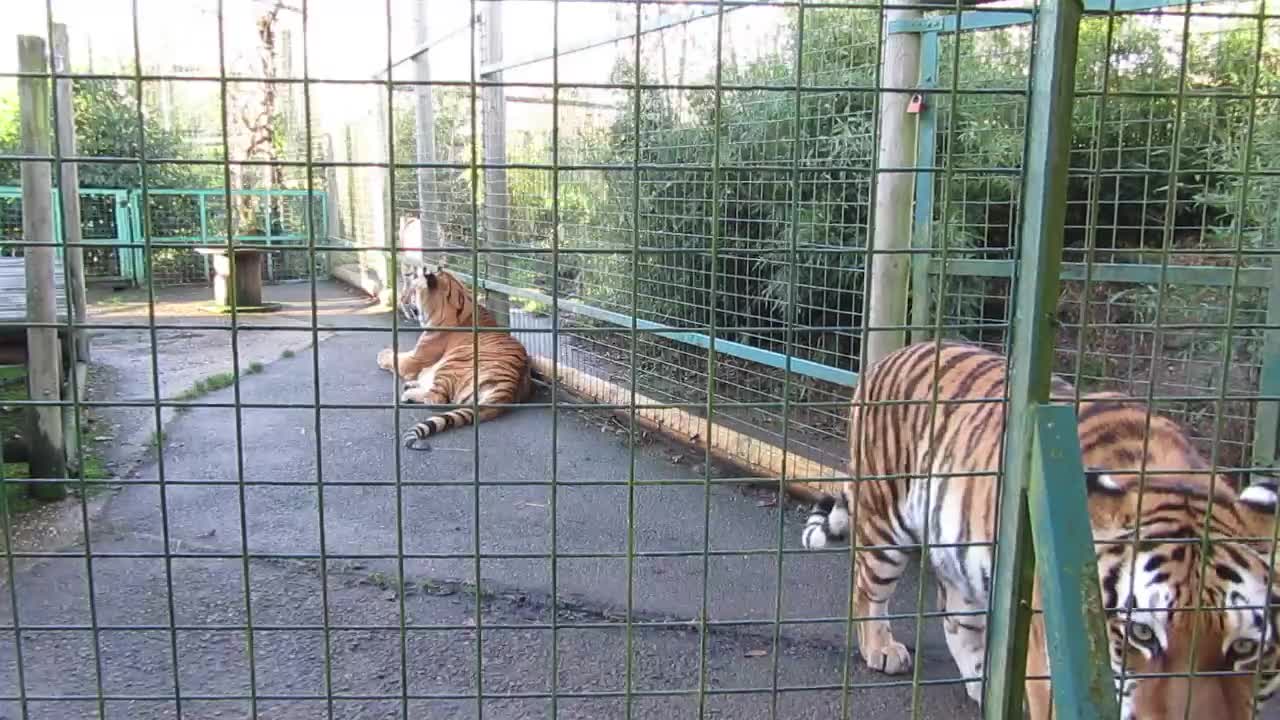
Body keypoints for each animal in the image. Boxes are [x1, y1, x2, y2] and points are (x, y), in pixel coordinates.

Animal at [378, 263, 540, 448]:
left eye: (412, 291)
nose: (401, 300)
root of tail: (509, 389)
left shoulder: (414, 359)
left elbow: (394, 357)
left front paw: (382, 354)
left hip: (452, 364)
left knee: (435, 399)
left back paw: (408, 394)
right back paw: (411, 385)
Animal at [798, 340, 1280, 717]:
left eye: (1246, 647)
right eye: (1142, 633)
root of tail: (891, 355)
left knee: (955, 613)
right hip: (885, 520)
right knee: (867, 590)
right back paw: (881, 647)